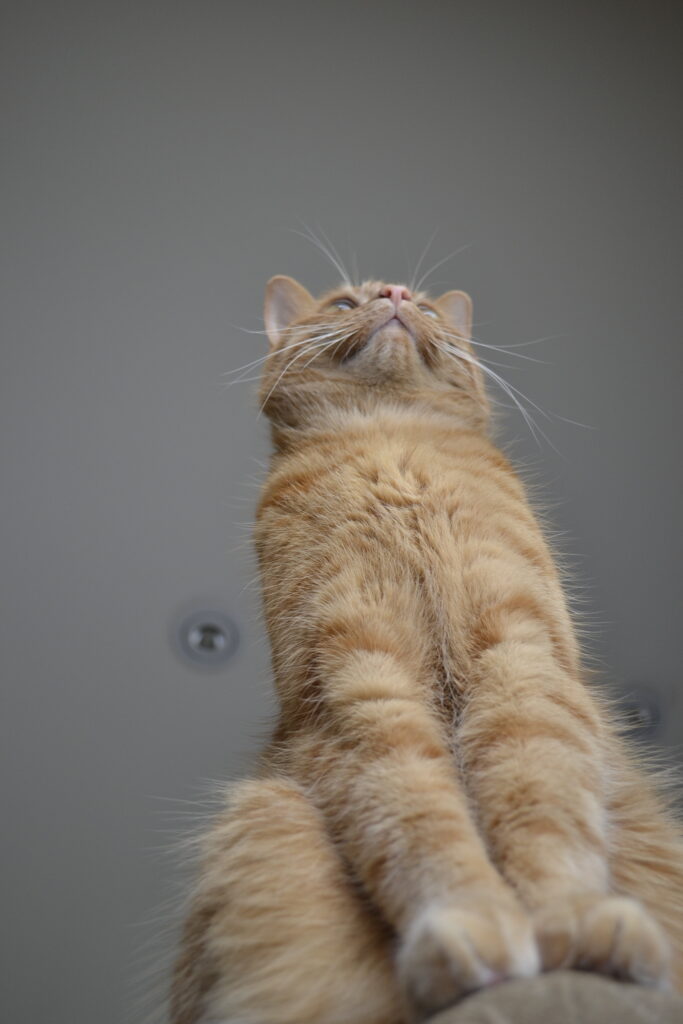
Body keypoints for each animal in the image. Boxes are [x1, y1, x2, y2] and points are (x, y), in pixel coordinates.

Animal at [169, 276, 683, 1024]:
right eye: (344, 305)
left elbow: (546, 806)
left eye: (429, 306)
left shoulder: (520, 666)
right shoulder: (361, 686)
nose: (395, 292)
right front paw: (469, 927)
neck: (393, 443)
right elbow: (416, 818)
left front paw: (579, 923)